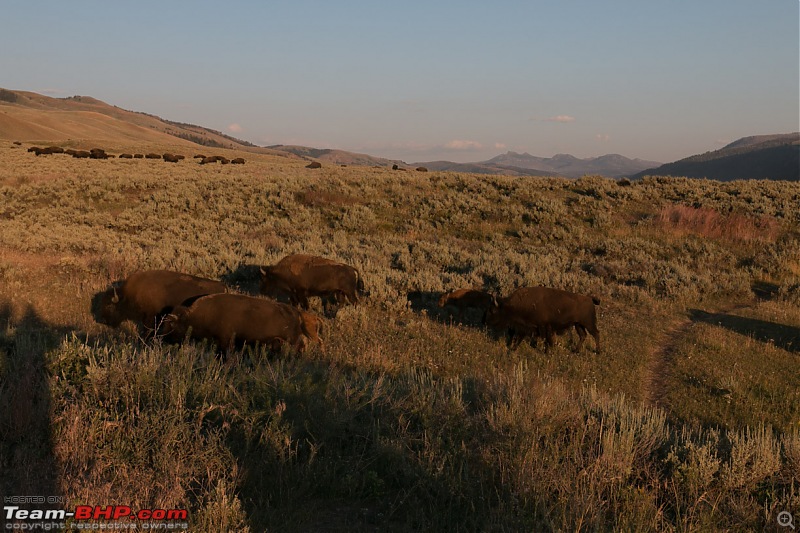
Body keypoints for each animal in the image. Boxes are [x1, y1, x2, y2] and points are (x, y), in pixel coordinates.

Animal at [161, 290, 324, 354]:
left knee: (300, 346)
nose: (162, 338)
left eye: (171, 324)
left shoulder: (225, 339)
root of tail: (297, 312)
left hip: (292, 339)